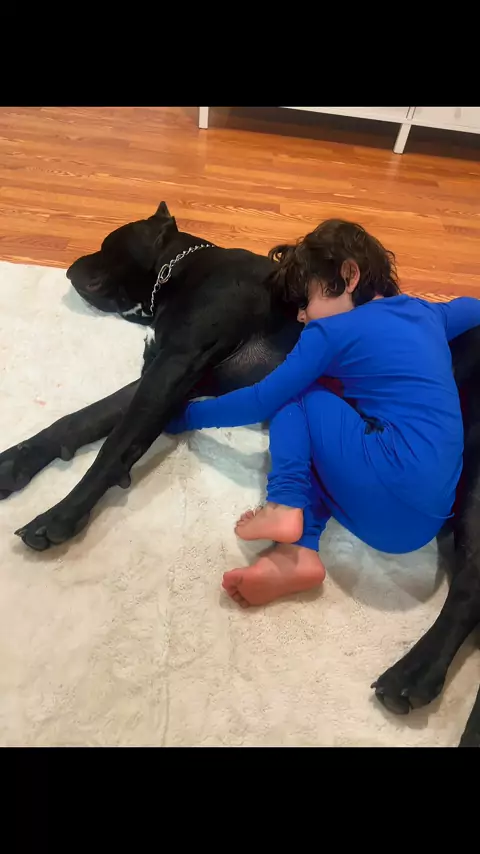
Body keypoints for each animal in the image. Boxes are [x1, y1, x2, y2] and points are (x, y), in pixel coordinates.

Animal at [1, 202, 479, 746]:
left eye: (107, 244)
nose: (69, 268)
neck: (183, 268)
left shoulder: (177, 363)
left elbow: (114, 444)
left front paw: (60, 515)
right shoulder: (176, 375)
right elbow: (83, 420)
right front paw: (15, 462)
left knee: (469, 588)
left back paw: (415, 675)